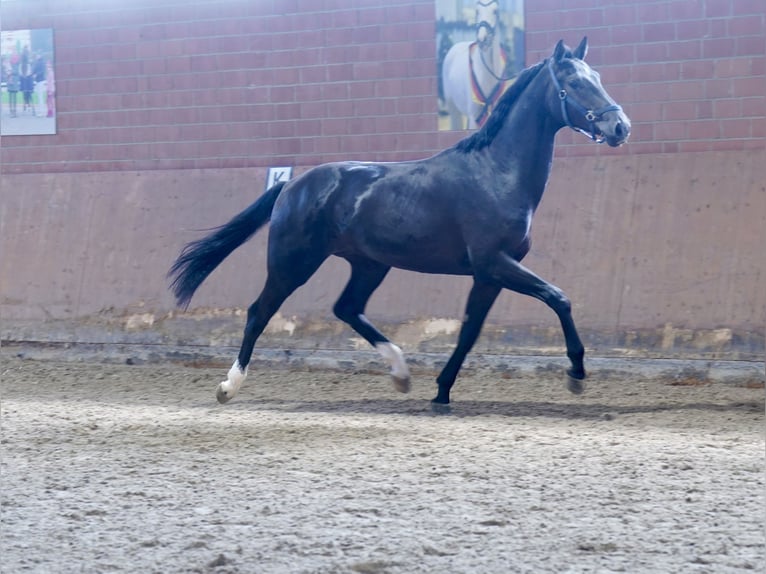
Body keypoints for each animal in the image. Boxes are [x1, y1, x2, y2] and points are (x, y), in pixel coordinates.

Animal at [171, 38, 632, 410]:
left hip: (370, 264)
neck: (496, 172)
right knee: (259, 311)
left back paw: (401, 374)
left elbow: (469, 331)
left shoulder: (488, 274)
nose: (619, 126)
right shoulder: (495, 263)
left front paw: (441, 392)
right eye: (573, 83)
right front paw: (576, 374)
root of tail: (291, 184)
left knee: (347, 308)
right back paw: (229, 387)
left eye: (597, 77)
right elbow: (558, 298)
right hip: (293, 263)